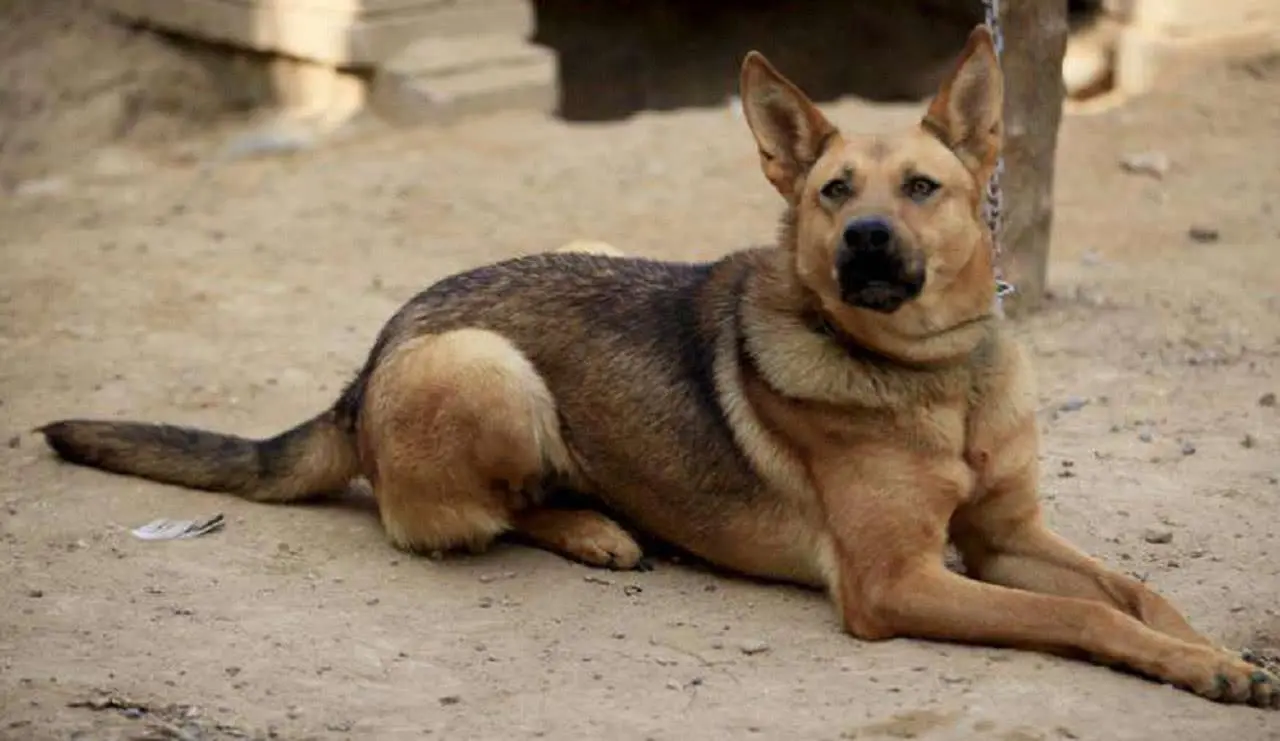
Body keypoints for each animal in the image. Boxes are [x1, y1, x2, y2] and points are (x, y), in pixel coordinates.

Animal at [35, 27, 1274, 706]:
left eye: (921, 187)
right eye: (832, 192)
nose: (865, 243)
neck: (932, 381)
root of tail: (370, 359)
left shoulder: (1005, 536)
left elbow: (1135, 592)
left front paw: (1214, 658)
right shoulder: (898, 583)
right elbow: (1082, 622)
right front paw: (1179, 661)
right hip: (481, 365)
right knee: (457, 513)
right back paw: (594, 527)